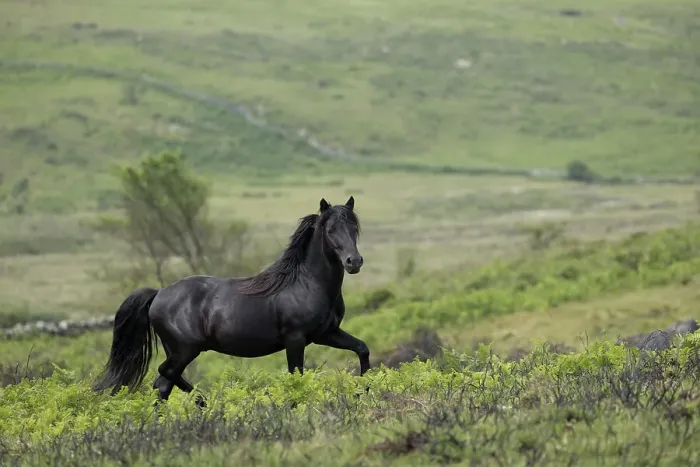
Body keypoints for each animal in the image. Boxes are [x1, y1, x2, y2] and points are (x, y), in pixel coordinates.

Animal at [92, 196, 370, 406]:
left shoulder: (326, 333)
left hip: (178, 350)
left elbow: (362, 349)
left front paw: (364, 391)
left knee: (164, 383)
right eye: (330, 230)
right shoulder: (296, 339)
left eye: (354, 229)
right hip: (185, 349)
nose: (354, 262)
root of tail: (159, 293)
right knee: (164, 376)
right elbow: (296, 376)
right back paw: (200, 406)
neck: (307, 283)